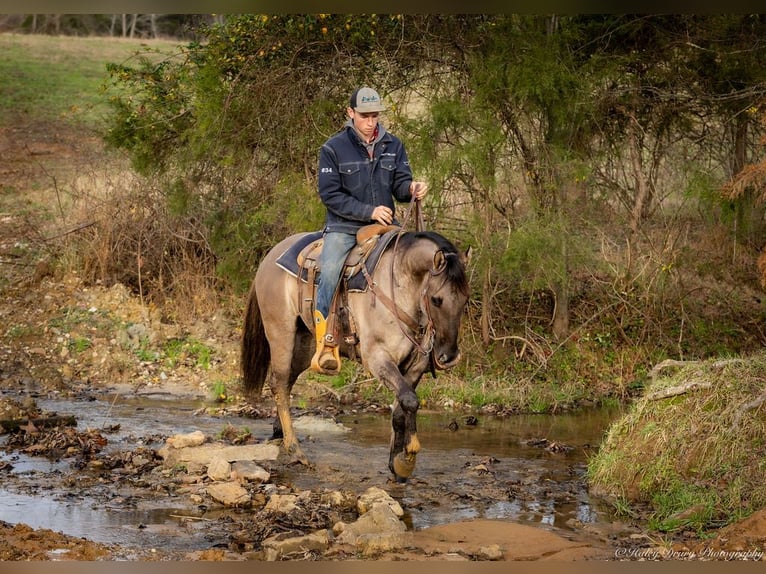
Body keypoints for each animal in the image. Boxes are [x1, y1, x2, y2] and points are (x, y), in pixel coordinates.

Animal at [240, 230, 472, 482]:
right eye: (436, 299)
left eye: (466, 299)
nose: (449, 356)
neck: (400, 286)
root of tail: (270, 257)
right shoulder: (378, 357)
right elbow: (410, 400)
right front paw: (408, 457)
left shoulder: (415, 366)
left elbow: (402, 407)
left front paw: (396, 464)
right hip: (281, 333)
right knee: (279, 383)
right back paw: (295, 451)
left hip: (304, 344)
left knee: (288, 381)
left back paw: (279, 432)